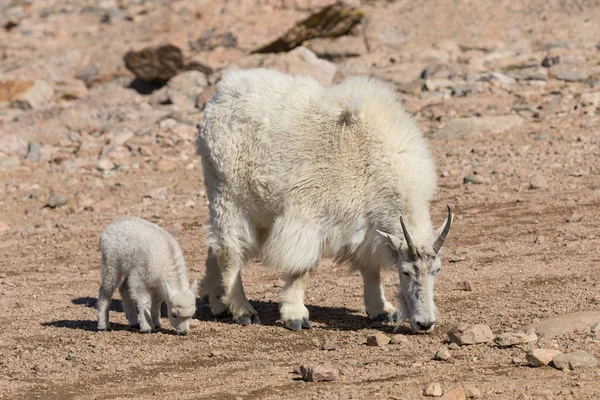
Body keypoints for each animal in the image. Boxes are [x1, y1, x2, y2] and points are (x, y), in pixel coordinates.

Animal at [196, 69, 450, 334]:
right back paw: (242, 310)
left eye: (437, 270)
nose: (425, 323)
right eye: (405, 271)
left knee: (215, 246)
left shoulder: (366, 224)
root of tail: (222, 93)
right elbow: (302, 267)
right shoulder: (308, 214)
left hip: (257, 208)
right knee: (230, 250)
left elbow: (371, 267)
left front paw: (381, 309)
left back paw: (217, 302)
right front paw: (295, 316)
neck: (371, 157)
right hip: (227, 196)